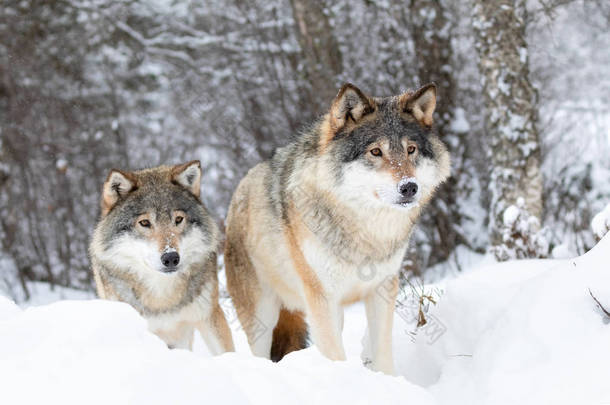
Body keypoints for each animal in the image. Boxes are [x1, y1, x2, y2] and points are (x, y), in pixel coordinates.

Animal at [223, 83, 446, 374]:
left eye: (411, 149)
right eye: (376, 152)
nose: (409, 187)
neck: (364, 231)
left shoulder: (382, 290)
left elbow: (382, 353)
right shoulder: (321, 298)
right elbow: (334, 354)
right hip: (263, 314)